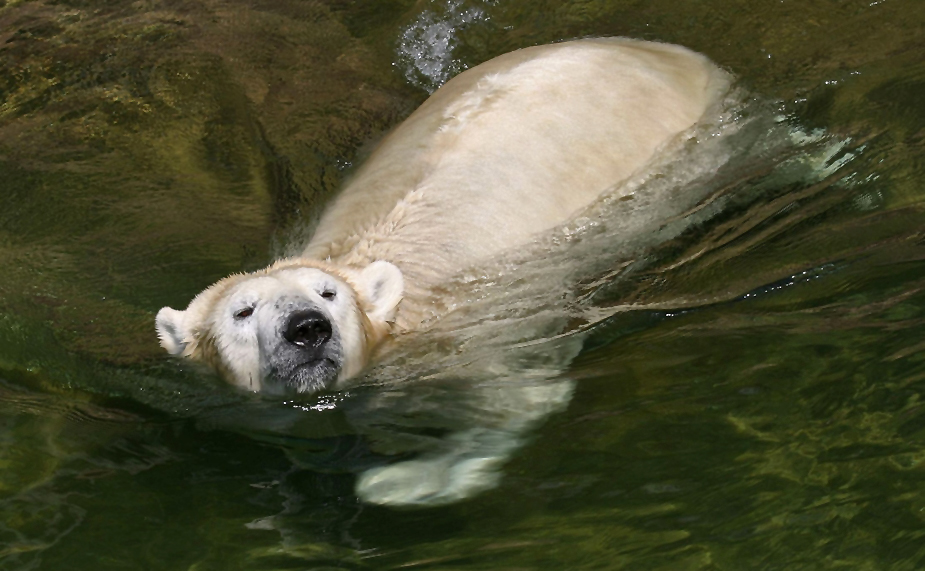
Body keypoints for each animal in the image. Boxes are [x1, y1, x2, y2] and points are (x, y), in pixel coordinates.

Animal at [155, 38, 724, 504]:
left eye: (328, 295)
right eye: (242, 311)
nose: (307, 329)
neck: (405, 330)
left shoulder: (481, 339)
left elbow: (517, 405)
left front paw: (399, 481)